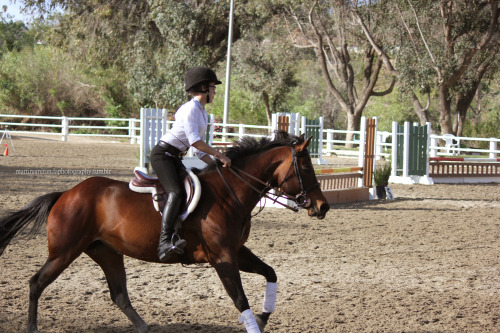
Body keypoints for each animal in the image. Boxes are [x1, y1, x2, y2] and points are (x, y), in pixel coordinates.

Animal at [0, 130, 330, 332]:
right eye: (305, 167)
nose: (323, 206)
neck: (229, 193)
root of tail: (66, 194)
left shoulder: (236, 251)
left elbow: (270, 273)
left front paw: (262, 318)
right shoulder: (223, 257)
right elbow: (240, 299)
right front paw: (254, 323)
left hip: (107, 252)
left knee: (119, 295)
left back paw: (144, 328)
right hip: (64, 252)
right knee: (36, 283)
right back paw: (32, 327)